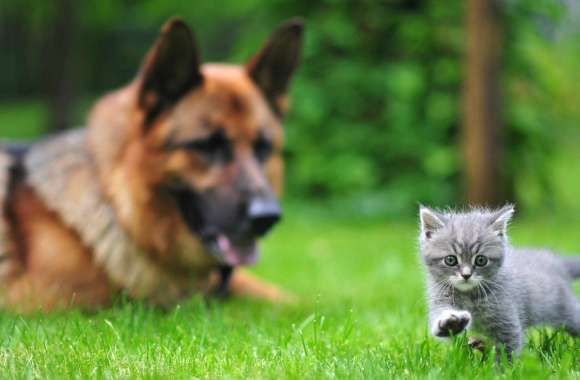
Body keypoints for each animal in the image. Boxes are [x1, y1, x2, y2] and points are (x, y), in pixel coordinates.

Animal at [420, 206, 576, 358]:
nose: (466, 275)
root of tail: (557, 262)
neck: (470, 296)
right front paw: (450, 325)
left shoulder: (506, 318)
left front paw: (502, 367)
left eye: (481, 260)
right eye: (450, 260)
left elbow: (508, 348)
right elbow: (440, 315)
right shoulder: (442, 297)